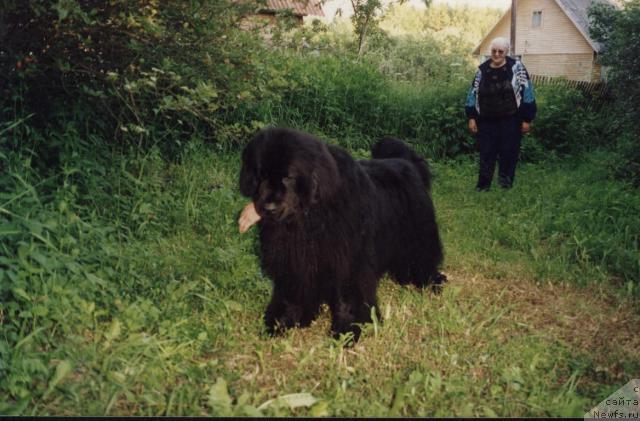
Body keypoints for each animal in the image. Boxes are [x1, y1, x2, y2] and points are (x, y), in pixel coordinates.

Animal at [240, 126, 444, 340]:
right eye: (261, 175)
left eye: (288, 177)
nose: (268, 207)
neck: (310, 216)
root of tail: (407, 162)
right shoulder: (295, 260)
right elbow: (292, 293)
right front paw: (283, 321)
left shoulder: (349, 260)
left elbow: (348, 297)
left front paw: (347, 329)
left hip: (418, 234)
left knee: (424, 257)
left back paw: (431, 281)